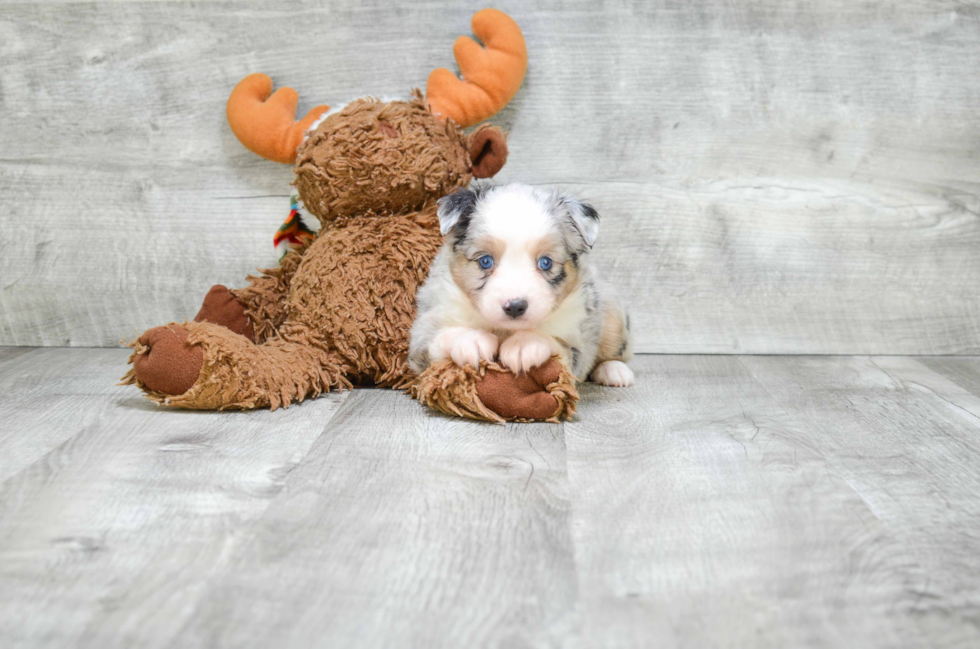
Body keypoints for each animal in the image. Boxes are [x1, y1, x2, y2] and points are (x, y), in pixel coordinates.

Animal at [408, 180, 632, 388]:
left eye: (545, 262)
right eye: (485, 261)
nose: (515, 306)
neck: (505, 330)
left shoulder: (579, 342)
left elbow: (561, 347)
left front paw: (526, 344)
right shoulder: (422, 332)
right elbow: (437, 336)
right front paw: (471, 339)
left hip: (612, 313)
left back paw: (614, 370)